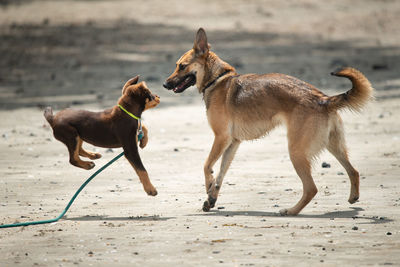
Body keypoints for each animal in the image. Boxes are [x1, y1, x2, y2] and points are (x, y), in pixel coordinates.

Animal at [162, 27, 372, 216]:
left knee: (311, 189)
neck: (217, 79)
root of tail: (323, 99)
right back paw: (353, 197)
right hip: (334, 146)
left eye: (182, 66)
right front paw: (211, 197)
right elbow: (221, 172)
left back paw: (291, 211)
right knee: (353, 171)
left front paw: (208, 187)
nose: (164, 84)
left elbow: (207, 166)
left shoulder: (221, 138)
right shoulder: (233, 143)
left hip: (296, 152)